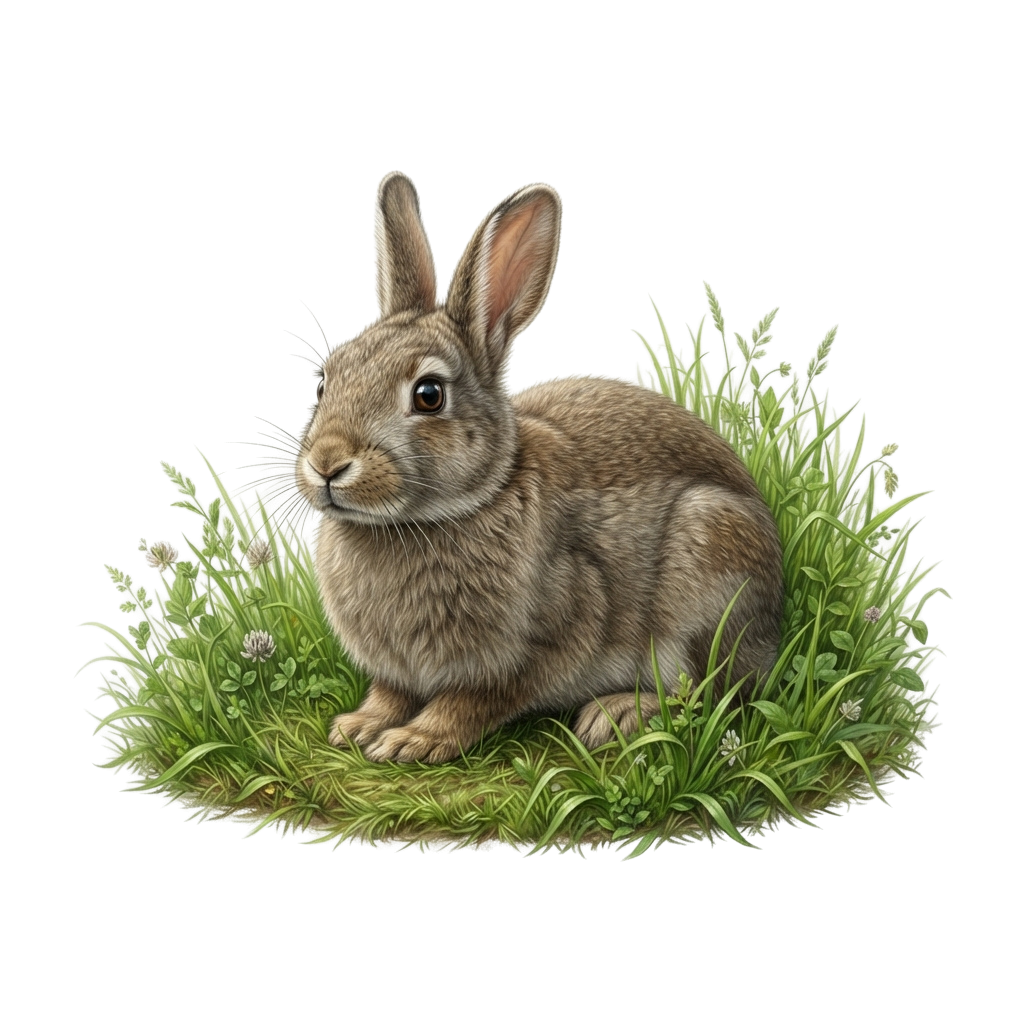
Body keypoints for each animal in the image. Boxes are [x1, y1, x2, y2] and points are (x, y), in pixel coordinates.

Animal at [293, 170, 784, 764]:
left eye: (429, 395)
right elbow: (390, 692)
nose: (326, 464)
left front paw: (415, 740)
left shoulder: (548, 638)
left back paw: (617, 714)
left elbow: (473, 700)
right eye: (326, 380)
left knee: (715, 692)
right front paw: (359, 726)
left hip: (708, 565)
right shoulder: (398, 671)